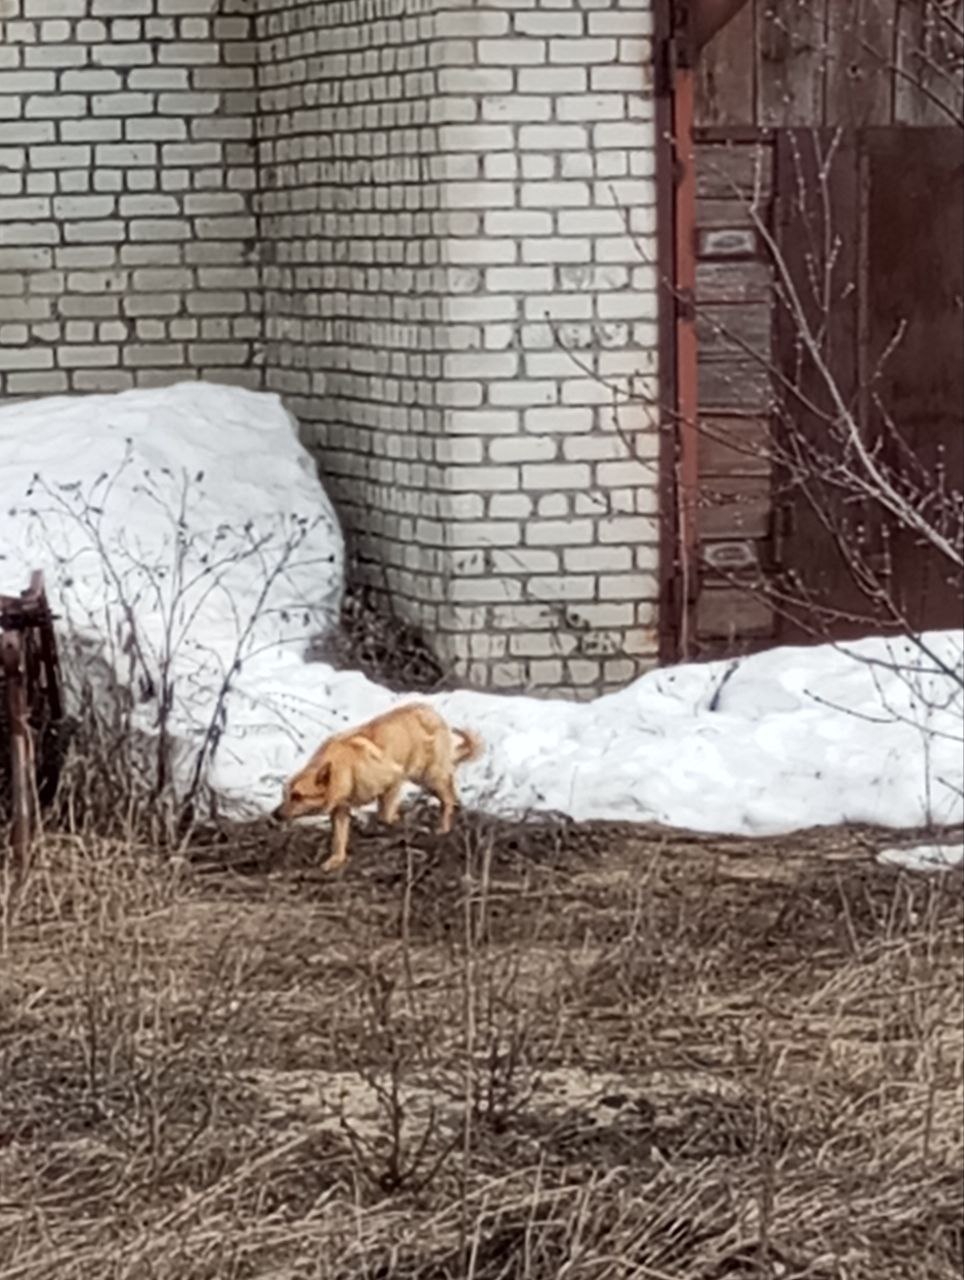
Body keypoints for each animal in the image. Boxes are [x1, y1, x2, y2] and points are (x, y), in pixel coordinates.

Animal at [271, 701, 481, 870]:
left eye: (297, 795)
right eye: (285, 794)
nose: (274, 815)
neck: (345, 768)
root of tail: (432, 712)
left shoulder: (394, 779)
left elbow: (385, 816)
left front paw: (397, 822)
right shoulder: (340, 810)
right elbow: (339, 839)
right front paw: (336, 859)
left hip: (428, 776)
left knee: (447, 799)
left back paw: (443, 827)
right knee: (450, 791)